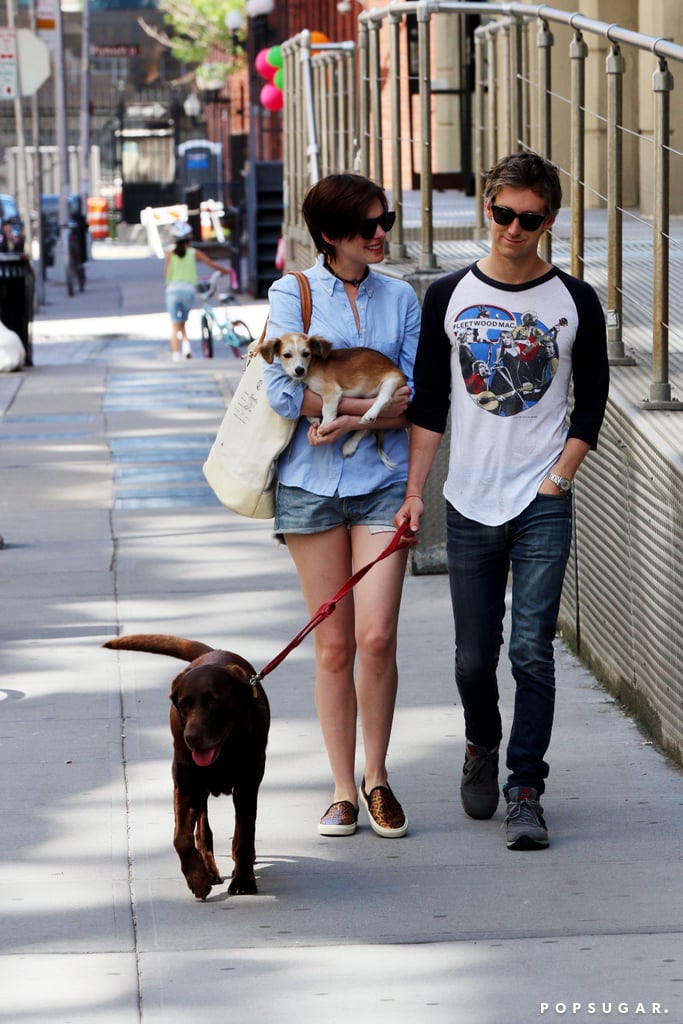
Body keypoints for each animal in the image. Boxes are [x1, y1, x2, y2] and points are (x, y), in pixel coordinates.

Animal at [104, 634, 270, 901]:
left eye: (214, 702)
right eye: (183, 704)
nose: (190, 737)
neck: (224, 752)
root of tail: (214, 652)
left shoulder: (246, 787)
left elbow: (244, 835)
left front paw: (243, 880)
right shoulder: (185, 787)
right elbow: (181, 838)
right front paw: (198, 879)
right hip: (198, 788)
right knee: (202, 831)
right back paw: (209, 869)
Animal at [255, 331, 405, 468]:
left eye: (306, 354)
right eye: (287, 355)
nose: (299, 370)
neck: (311, 366)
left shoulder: (332, 391)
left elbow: (326, 411)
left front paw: (323, 427)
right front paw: (314, 419)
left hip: (391, 380)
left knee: (385, 398)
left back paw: (370, 415)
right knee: (366, 428)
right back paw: (350, 444)